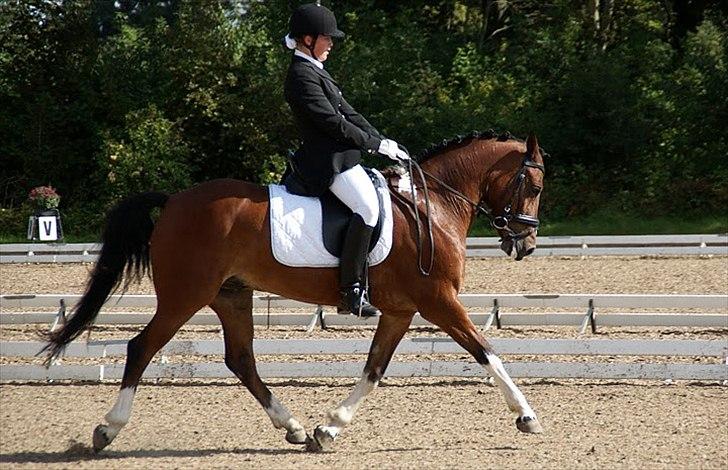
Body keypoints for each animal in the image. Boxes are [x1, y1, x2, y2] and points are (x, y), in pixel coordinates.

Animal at [43, 130, 546, 452]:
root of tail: (173, 200)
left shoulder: (401, 311)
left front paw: (329, 429)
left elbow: (374, 369)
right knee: (141, 347)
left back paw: (294, 428)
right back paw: (108, 430)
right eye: (535, 184)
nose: (525, 245)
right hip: (185, 295)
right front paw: (527, 416)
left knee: (241, 360)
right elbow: (486, 351)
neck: (431, 207)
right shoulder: (438, 300)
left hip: (231, 295)